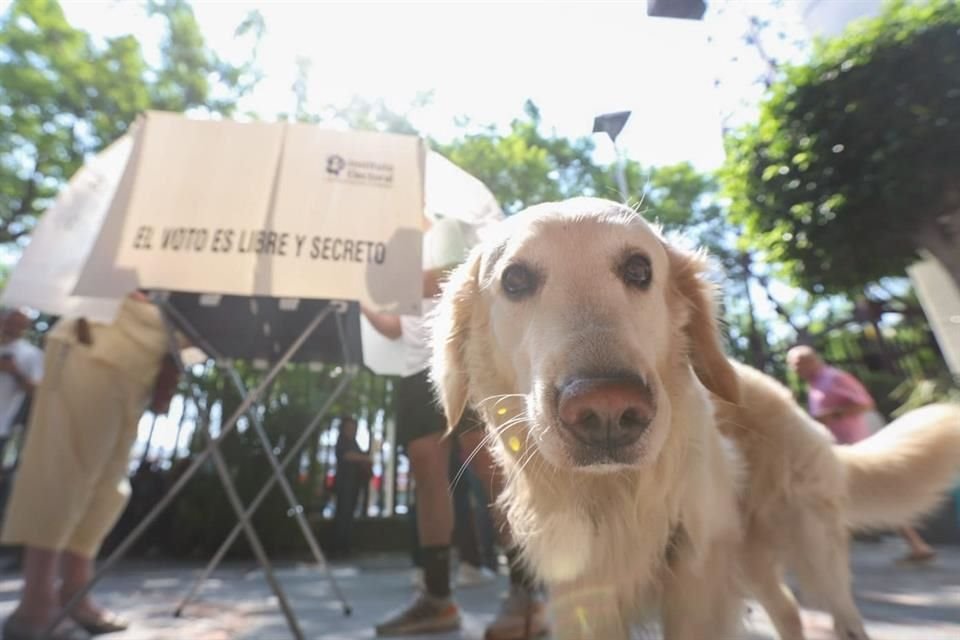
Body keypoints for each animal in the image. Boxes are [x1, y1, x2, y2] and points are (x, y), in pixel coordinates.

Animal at [430, 196, 960, 640]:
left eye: (639, 269)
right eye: (515, 280)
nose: (607, 409)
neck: (615, 494)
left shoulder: (697, 576)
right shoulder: (583, 593)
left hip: (808, 547)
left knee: (840, 614)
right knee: (788, 610)